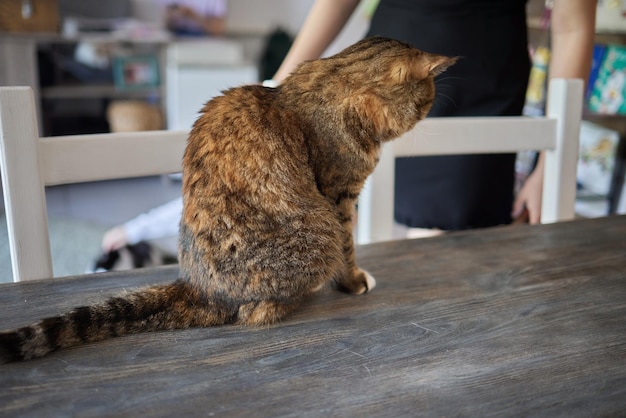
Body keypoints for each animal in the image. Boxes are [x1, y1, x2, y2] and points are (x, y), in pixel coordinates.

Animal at [0, 36, 454, 362]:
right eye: (429, 97)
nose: (434, 110)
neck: (332, 85)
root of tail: (199, 289)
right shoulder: (339, 195)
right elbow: (349, 247)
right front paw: (354, 280)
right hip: (318, 233)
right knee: (254, 313)